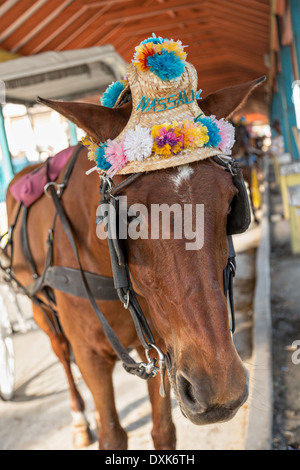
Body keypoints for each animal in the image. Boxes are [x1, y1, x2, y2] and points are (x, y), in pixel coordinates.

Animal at [2, 78, 264, 452]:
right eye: (129, 216)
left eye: (231, 203)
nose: (219, 386)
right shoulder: (91, 357)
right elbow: (112, 434)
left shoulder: (161, 344)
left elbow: (163, 431)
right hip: (40, 309)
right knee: (61, 353)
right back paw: (80, 419)